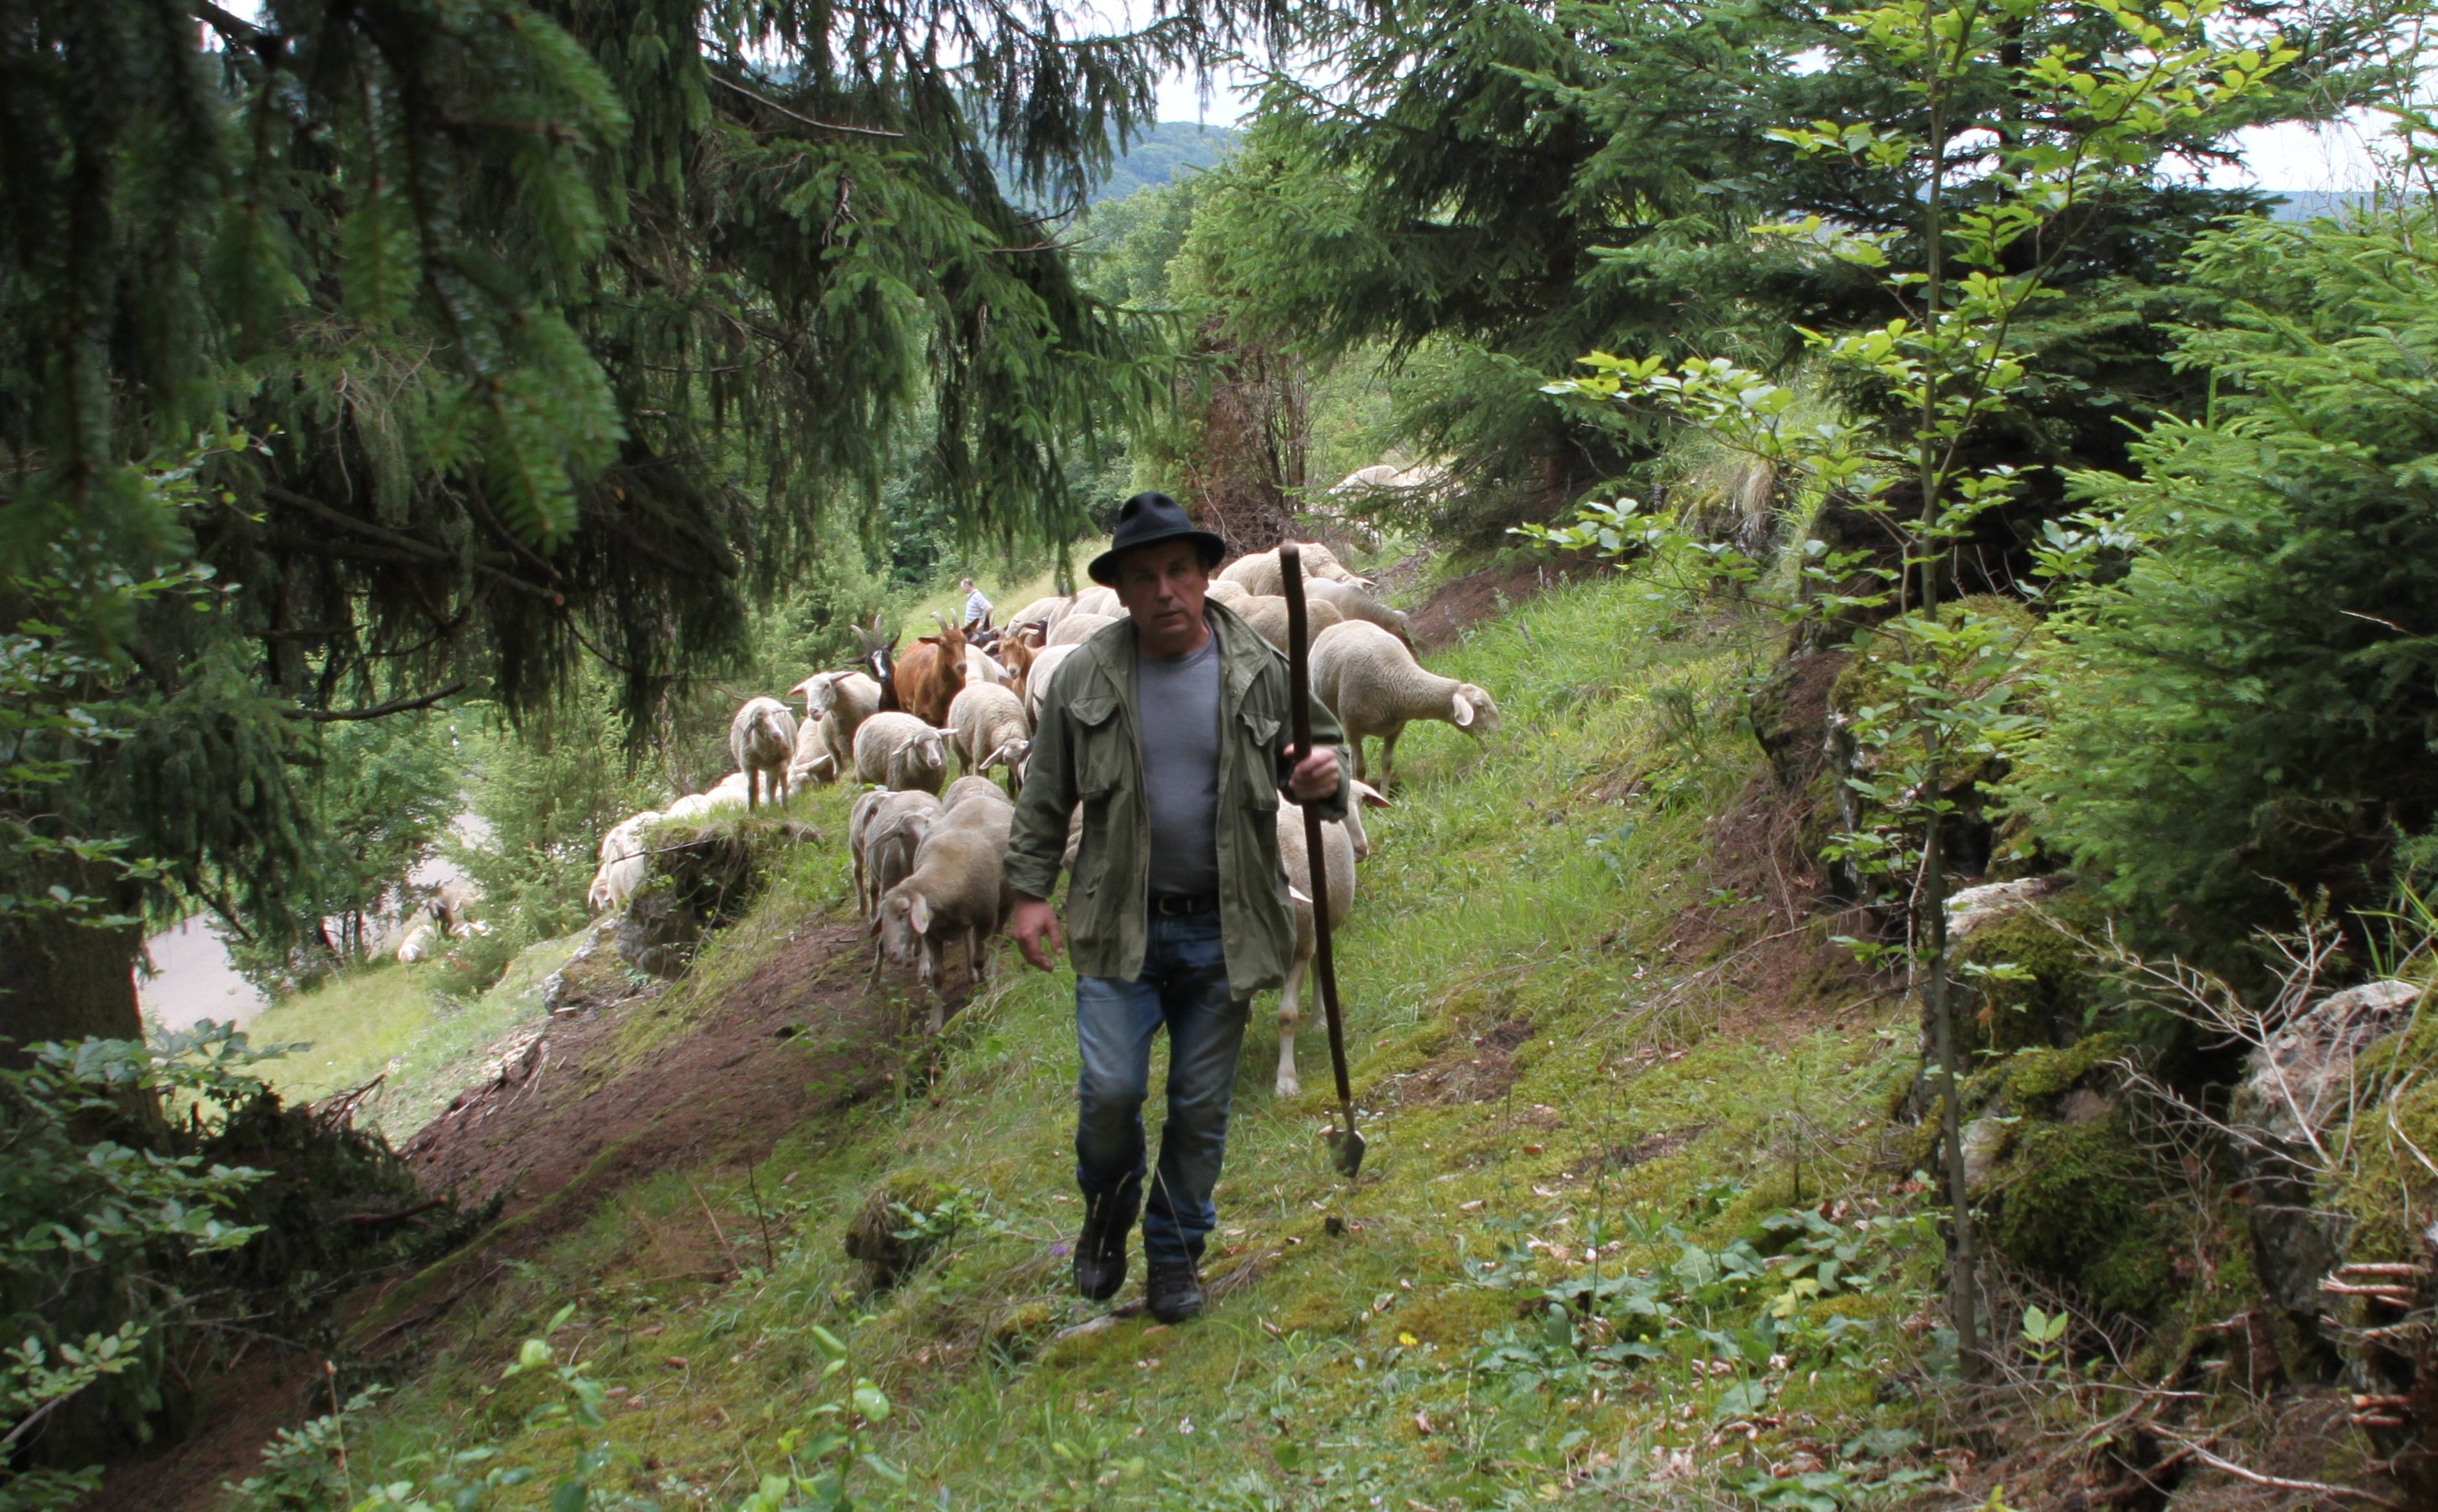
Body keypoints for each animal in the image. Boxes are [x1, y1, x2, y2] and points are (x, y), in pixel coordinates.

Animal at [721, 697, 799, 810]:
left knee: (774, 783)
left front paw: (781, 807)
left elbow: (778, 784)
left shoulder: (780, 762)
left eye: (774, 715)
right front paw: (752, 810)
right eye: (756, 723)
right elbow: (752, 787)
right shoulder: (749, 765)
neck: (767, 753)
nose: (777, 735)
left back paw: (775, 804)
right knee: (759, 785)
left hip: (776, 765)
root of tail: (759, 698)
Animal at [897, 607, 970, 727]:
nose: (962, 667)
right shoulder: (920, 713)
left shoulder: (946, 717)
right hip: (903, 704)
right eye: (942, 643)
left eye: (965, 640)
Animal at [941, 677, 1029, 784]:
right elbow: (983, 778)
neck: (1006, 727)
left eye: (1024, 755)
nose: (1020, 774)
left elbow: (1011, 783)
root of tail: (978, 683)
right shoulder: (980, 759)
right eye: (1005, 758)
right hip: (959, 748)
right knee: (963, 768)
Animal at [1316, 624, 1502, 790]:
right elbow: (1361, 770)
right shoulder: (1352, 728)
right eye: (1480, 706)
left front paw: (1384, 797)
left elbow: (1387, 764)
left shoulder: (1395, 729)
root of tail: (1338, 624)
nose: (1499, 735)